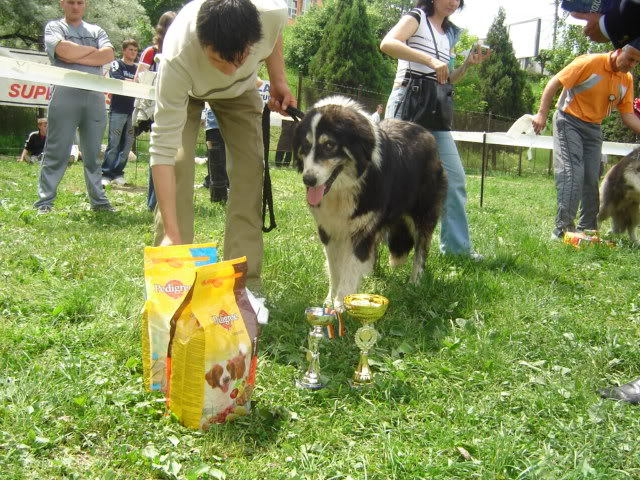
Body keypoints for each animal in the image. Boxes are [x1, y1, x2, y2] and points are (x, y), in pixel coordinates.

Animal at [294, 95, 448, 310]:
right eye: (306, 145)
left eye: (329, 145)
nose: (308, 180)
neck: (345, 188)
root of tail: (426, 132)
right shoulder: (329, 229)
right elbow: (334, 269)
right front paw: (329, 303)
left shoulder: (362, 229)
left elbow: (350, 268)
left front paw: (341, 306)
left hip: (423, 212)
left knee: (421, 249)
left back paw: (415, 283)